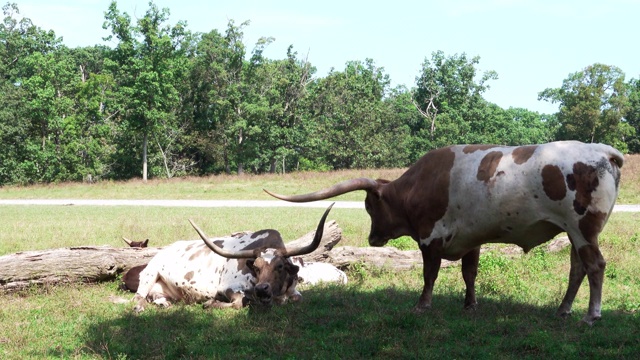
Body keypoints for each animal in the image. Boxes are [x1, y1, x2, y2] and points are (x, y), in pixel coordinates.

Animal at [135, 202, 336, 312]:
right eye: (256, 267)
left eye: (279, 266)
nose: (262, 289)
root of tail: (165, 249)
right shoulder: (228, 287)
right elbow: (240, 302)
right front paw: (210, 303)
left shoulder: (293, 291)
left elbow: (297, 298)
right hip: (149, 274)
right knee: (138, 296)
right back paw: (139, 307)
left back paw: (164, 303)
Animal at [266, 141, 624, 326]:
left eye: (369, 206)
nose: (372, 239)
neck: (417, 184)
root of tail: (604, 152)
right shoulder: (472, 239)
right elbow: (470, 274)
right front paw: (470, 305)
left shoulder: (430, 238)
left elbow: (429, 275)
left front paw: (422, 305)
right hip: (574, 233)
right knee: (577, 269)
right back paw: (563, 310)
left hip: (582, 229)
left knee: (595, 266)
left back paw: (591, 315)